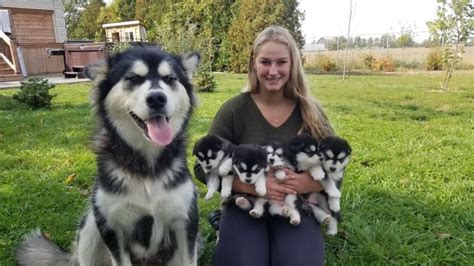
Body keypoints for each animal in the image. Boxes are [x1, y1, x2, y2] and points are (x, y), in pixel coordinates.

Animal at [16, 46, 200, 266]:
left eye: (170, 78)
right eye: (133, 78)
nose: (157, 98)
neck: (146, 167)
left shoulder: (186, 222)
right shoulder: (112, 227)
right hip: (90, 226)